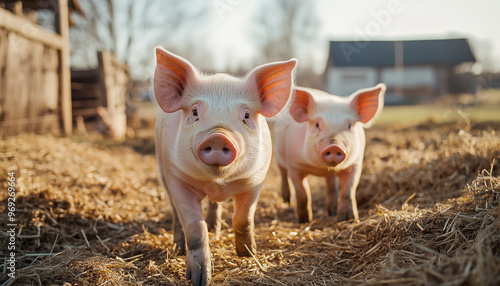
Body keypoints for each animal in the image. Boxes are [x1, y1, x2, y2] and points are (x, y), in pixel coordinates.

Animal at [154, 47, 296, 286]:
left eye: (246, 115)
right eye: (195, 112)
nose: (218, 136)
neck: (218, 182)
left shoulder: (256, 180)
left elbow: (243, 218)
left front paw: (248, 254)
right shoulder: (177, 177)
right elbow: (194, 227)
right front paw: (199, 279)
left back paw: (215, 227)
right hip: (162, 172)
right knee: (175, 214)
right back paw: (178, 248)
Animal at [274, 84, 386, 223]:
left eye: (349, 126)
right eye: (317, 124)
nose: (334, 146)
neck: (320, 168)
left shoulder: (355, 164)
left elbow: (347, 192)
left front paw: (347, 219)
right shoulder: (294, 164)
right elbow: (302, 193)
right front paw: (305, 220)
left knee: (331, 186)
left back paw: (331, 212)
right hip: (278, 155)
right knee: (283, 175)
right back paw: (287, 201)